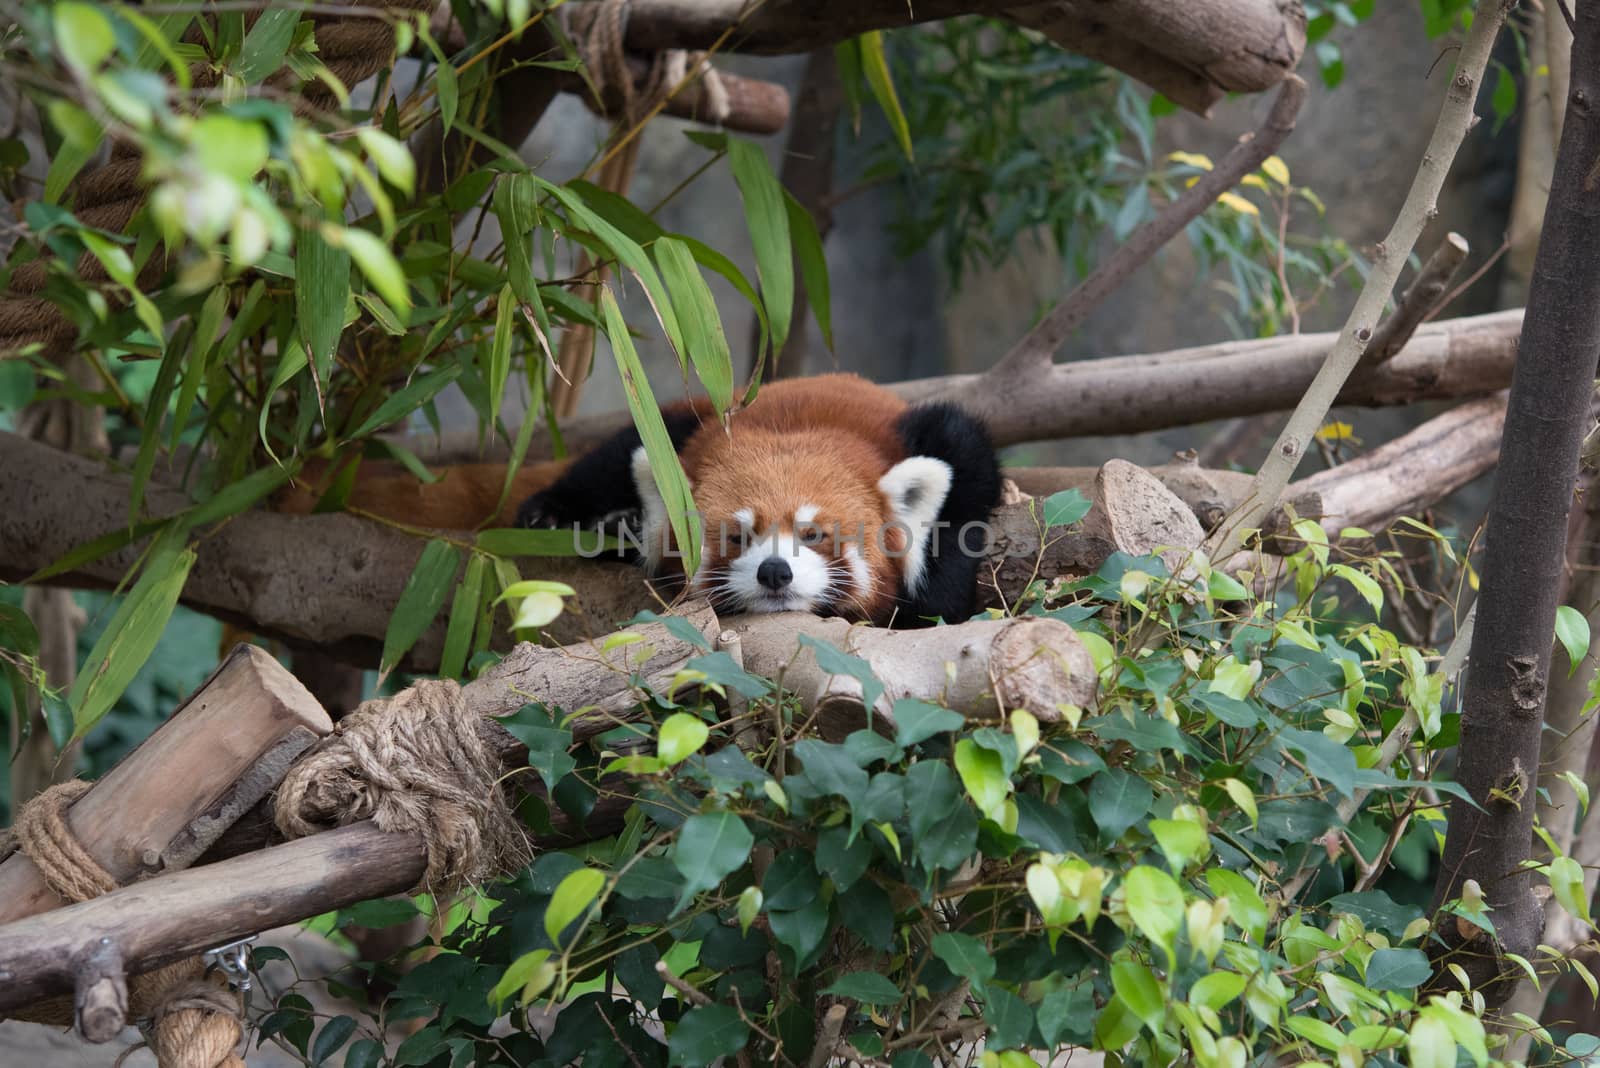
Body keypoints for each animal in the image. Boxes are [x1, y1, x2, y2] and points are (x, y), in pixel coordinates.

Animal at [518, 374, 998, 626]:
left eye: (813, 534)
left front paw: (936, 601)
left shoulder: (939, 436)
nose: (775, 572)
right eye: (737, 537)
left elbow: (962, 491)